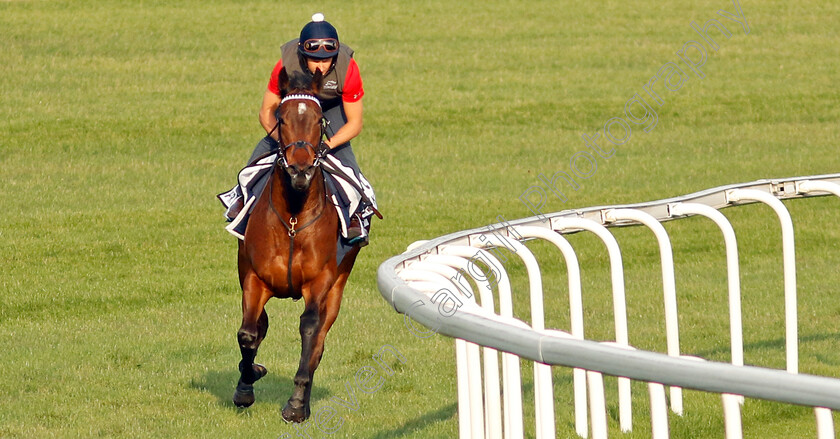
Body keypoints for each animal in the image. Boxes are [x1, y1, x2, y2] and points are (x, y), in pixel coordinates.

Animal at [231, 68, 360, 422]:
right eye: (282, 118)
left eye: (318, 120)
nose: (300, 169)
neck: (292, 217)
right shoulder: (254, 278)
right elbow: (249, 333)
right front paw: (247, 384)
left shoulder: (320, 281)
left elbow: (310, 331)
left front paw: (296, 405)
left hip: (339, 286)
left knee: (320, 340)